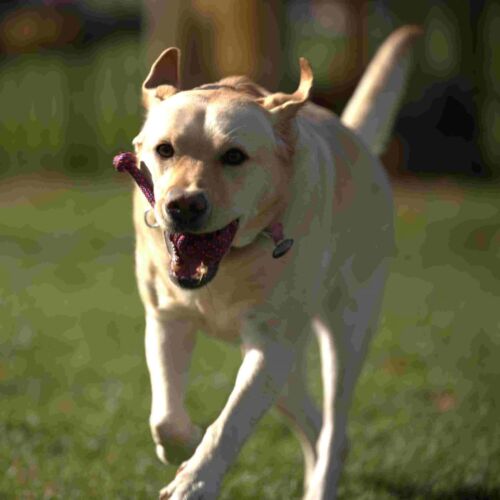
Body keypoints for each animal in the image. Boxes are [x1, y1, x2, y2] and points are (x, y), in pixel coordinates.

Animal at [128, 25, 422, 498]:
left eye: (234, 156)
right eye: (165, 149)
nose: (183, 206)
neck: (228, 267)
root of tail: (354, 137)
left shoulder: (270, 346)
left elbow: (230, 423)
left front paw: (195, 481)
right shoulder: (166, 319)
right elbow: (166, 417)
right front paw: (183, 445)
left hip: (346, 330)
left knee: (334, 428)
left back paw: (322, 483)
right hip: (286, 371)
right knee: (316, 428)